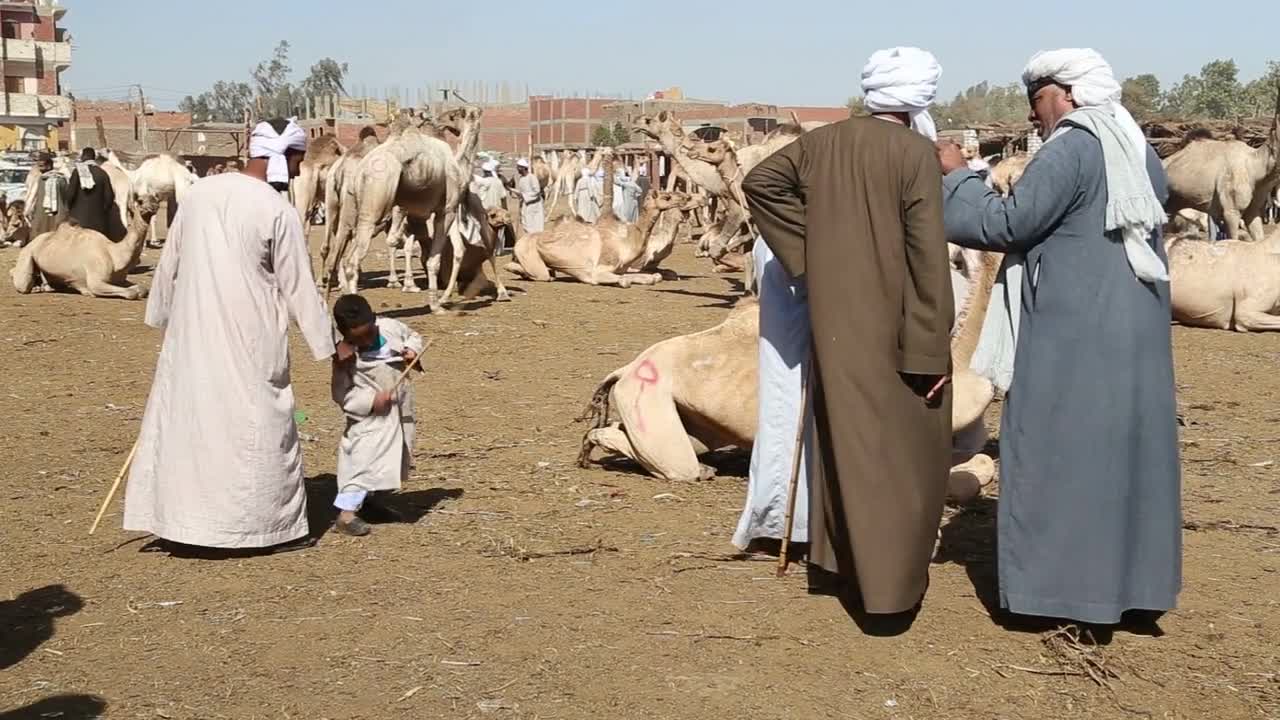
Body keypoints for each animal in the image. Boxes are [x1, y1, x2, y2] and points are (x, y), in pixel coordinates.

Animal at [11, 196, 158, 297]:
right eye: (140, 201)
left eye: (155, 198)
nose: (153, 206)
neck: (115, 255)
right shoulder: (96, 281)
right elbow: (131, 293)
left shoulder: (121, 280)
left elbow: (142, 289)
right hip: (27, 254)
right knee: (22, 283)